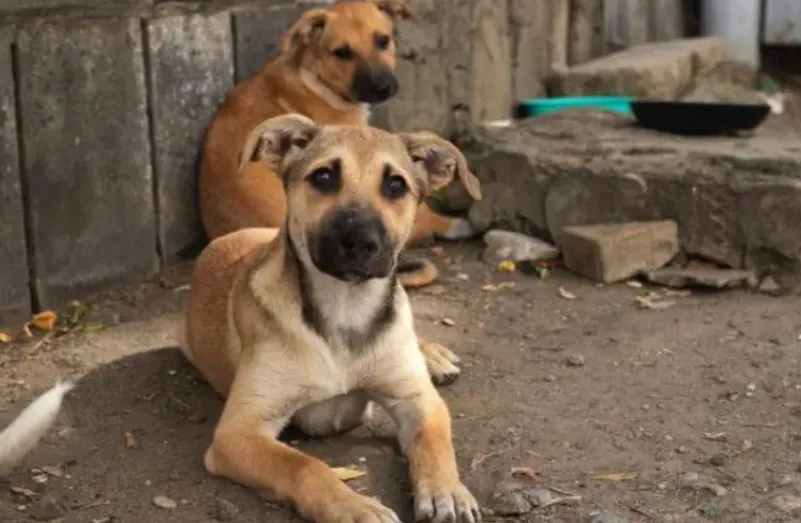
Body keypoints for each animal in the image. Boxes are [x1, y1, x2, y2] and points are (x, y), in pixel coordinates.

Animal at [182, 115, 482, 523]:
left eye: (395, 185)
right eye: (323, 177)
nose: (362, 242)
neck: (346, 309)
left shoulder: (418, 400)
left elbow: (434, 442)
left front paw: (446, 491)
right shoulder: (238, 432)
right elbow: (304, 466)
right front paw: (354, 507)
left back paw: (432, 355)